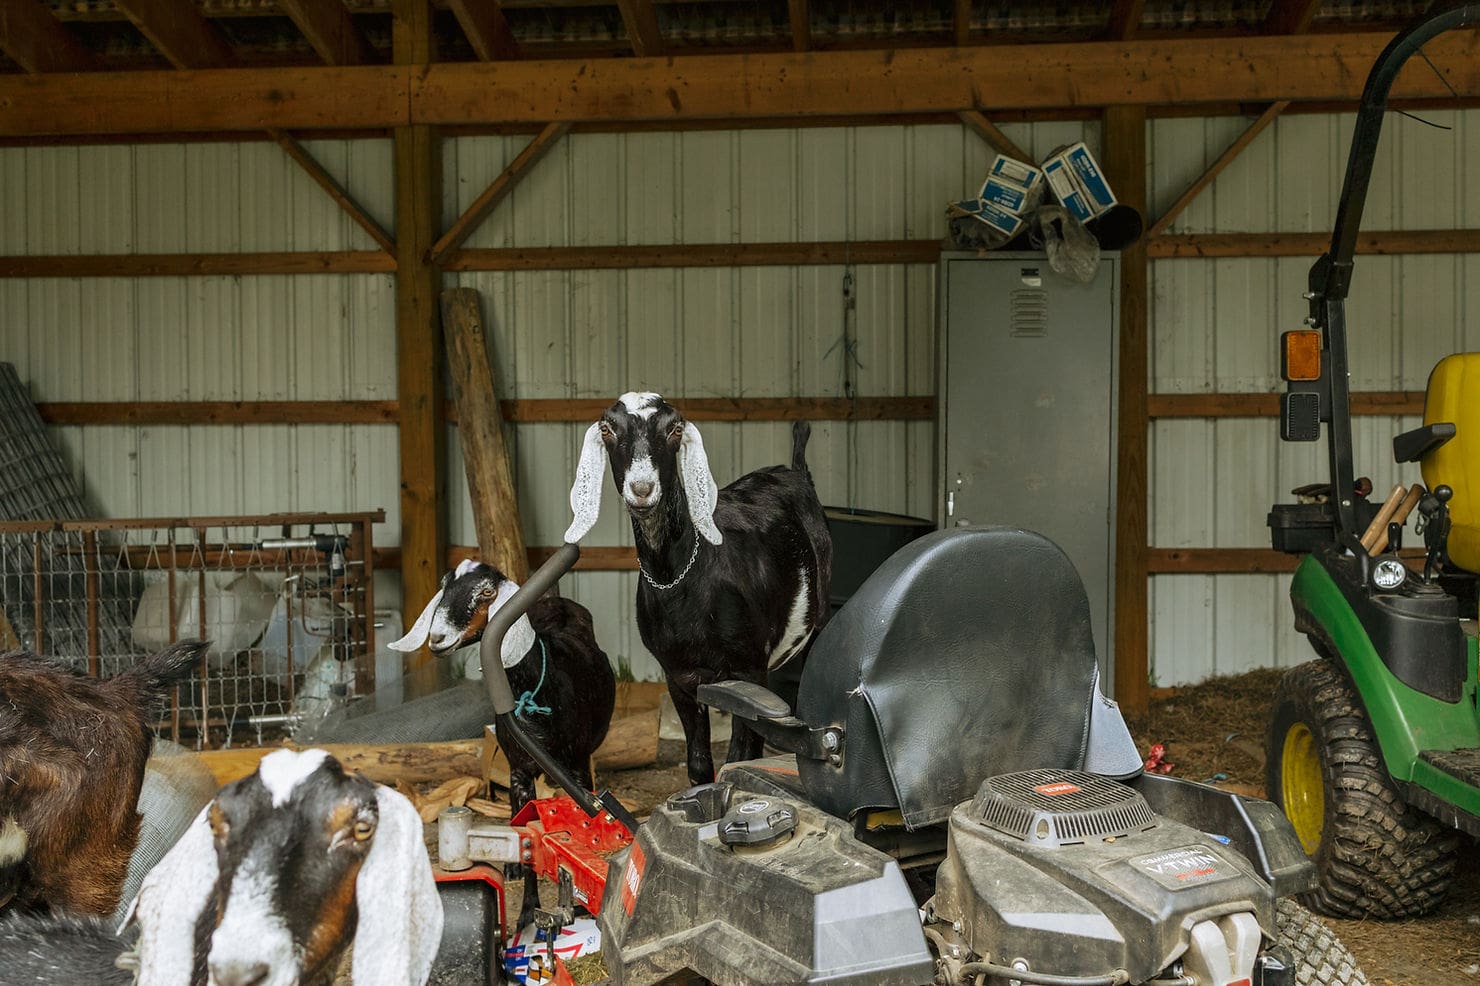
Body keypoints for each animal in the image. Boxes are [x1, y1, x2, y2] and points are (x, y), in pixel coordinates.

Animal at [389, 559, 615, 928]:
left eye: (486, 591)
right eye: (445, 585)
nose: (438, 638)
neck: (539, 689)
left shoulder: (580, 766)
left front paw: (583, 906)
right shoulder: (519, 771)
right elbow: (527, 839)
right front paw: (525, 913)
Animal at [565, 392, 832, 785]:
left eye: (674, 429)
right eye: (607, 428)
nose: (642, 489)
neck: (681, 578)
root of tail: (794, 471)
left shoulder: (749, 670)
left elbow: (741, 756)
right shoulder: (678, 675)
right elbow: (700, 766)